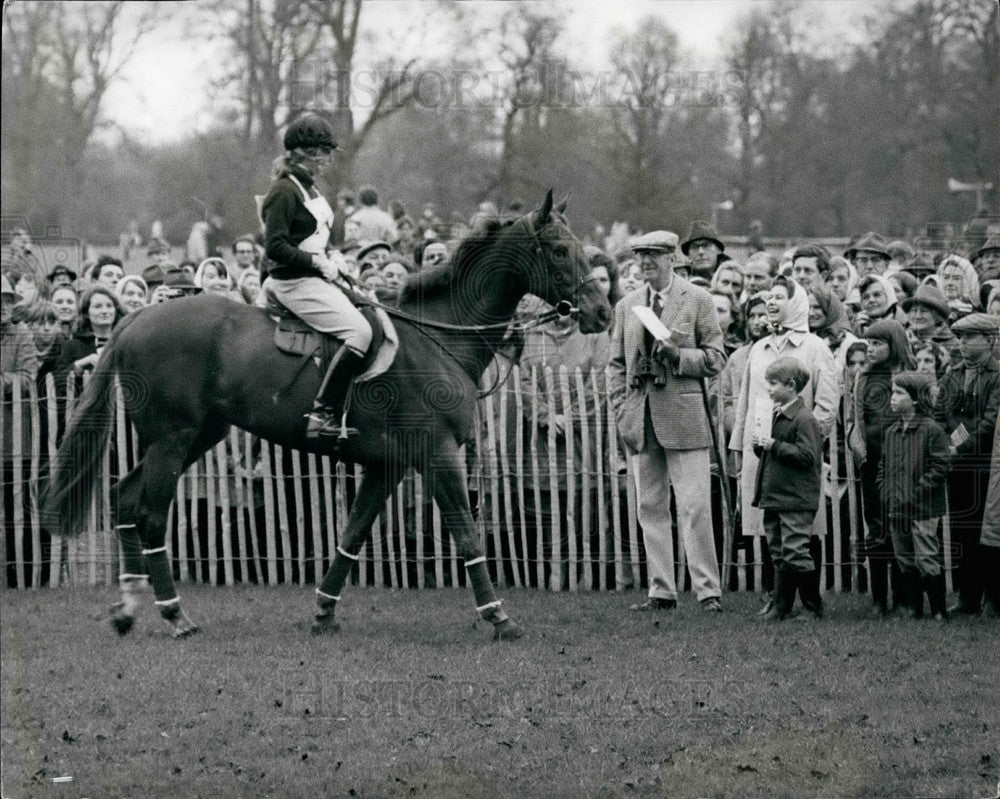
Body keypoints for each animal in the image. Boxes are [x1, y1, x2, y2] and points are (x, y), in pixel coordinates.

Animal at [43, 192, 612, 644]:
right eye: (559, 250)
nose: (603, 311)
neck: (439, 334)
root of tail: (138, 316)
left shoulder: (388, 466)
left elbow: (353, 535)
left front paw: (323, 612)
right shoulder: (438, 456)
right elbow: (468, 535)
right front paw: (498, 617)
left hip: (197, 435)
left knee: (125, 497)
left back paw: (128, 608)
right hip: (172, 439)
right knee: (150, 513)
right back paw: (173, 615)